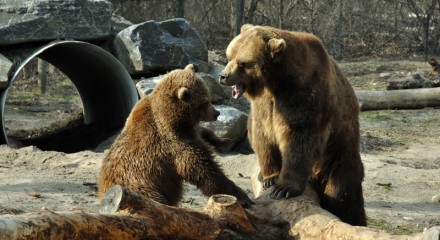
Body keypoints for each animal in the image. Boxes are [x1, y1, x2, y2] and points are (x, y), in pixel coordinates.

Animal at [98, 63, 253, 206]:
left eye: (208, 96)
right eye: (204, 102)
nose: (217, 113)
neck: (174, 120)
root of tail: (102, 192)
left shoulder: (188, 132)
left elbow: (204, 133)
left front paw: (225, 141)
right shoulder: (173, 144)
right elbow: (204, 170)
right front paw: (243, 196)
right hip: (142, 187)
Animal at [218, 25, 366, 226]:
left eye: (243, 63)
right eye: (229, 56)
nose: (223, 76)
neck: (277, 81)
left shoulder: (303, 94)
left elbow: (300, 139)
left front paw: (284, 188)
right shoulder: (265, 104)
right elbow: (262, 133)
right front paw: (269, 177)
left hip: (339, 149)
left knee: (343, 192)